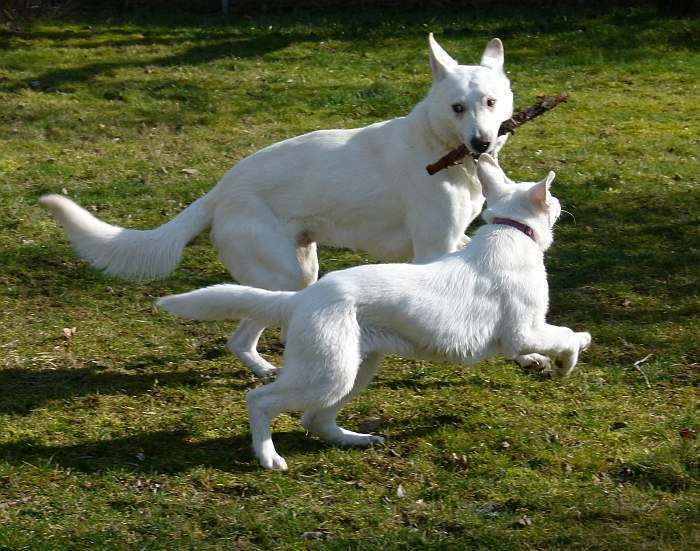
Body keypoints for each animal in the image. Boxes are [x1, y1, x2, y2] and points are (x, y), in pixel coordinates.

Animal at [42, 35, 516, 380]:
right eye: (457, 107)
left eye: (490, 103)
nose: (481, 143)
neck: (440, 147)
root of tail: (221, 190)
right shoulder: (434, 248)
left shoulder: (455, 240)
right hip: (285, 277)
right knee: (244, 335)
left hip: (303, 267)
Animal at [157, 154, 592, 470]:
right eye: (553, 201)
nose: (563, 205)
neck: (511, 231)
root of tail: (301, 299)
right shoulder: (524, 330)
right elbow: (565, 337)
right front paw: (568, 359)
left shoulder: (518, 334)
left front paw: (545, 363)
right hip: (329, 374)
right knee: (260, 400)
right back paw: (268, 457)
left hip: (355, 368)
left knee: (313, 420)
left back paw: (357, 439)